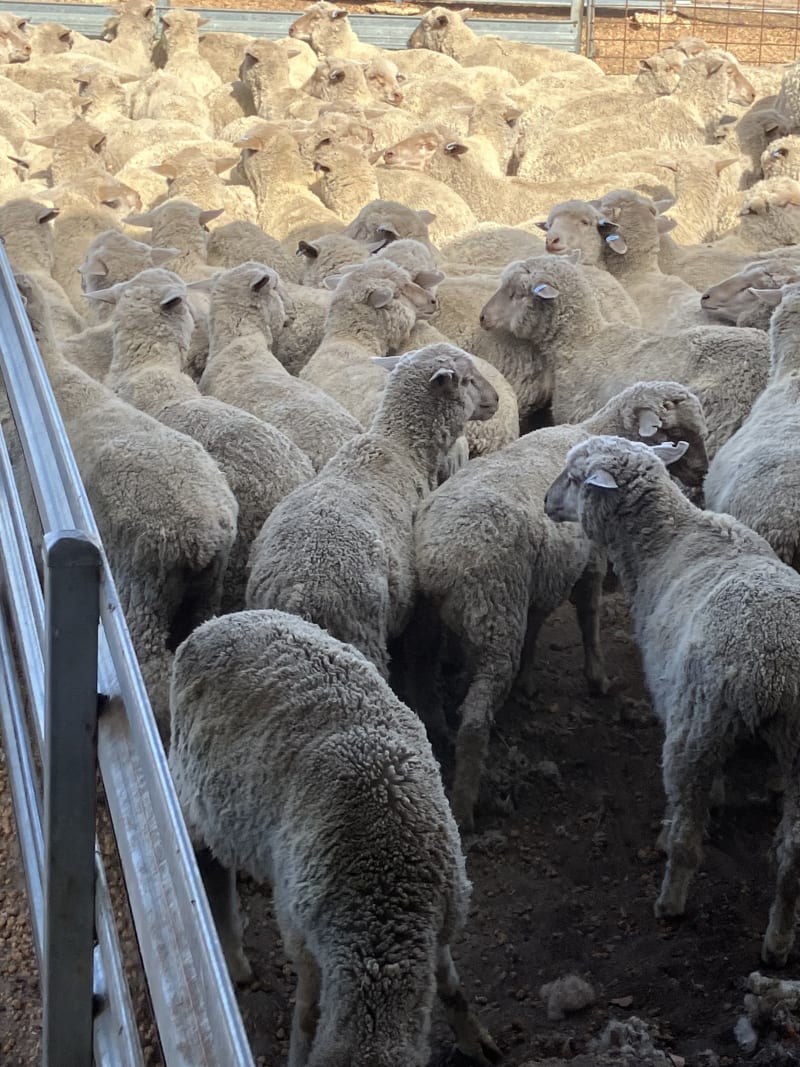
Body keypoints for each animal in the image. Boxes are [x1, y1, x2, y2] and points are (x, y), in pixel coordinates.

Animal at [168, 608, 499, 1064]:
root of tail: (219, 621)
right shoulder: (303, 936)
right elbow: (309, 1015)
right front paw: (298, 1052)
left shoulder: (443, 913)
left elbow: (449, 981)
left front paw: (475, 1038)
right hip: (190, 793)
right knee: (209, 867)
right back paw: (233, 958)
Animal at [411, 381, 708, 831]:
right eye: (674, 431)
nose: (703, 473)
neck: (588, 431)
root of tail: (438, 562)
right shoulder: (590, 561)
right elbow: (589, 616)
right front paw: (597, 677)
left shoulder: (541, 576)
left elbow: (536, 627)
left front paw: (529, 681)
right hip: (497, 614)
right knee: (476, 718)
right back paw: (464, 804)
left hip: (438, 622)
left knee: (428, 681)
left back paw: (439, 732)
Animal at [544, 433, 800, 967]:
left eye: (576, 479)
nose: (544, 502)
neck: (669, 542)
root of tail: (775, 674)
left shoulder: (678, 701)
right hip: (794, 748)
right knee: (792, 856)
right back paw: (778, 940)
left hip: (697, 728)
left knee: (687, 835)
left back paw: (670, 899)